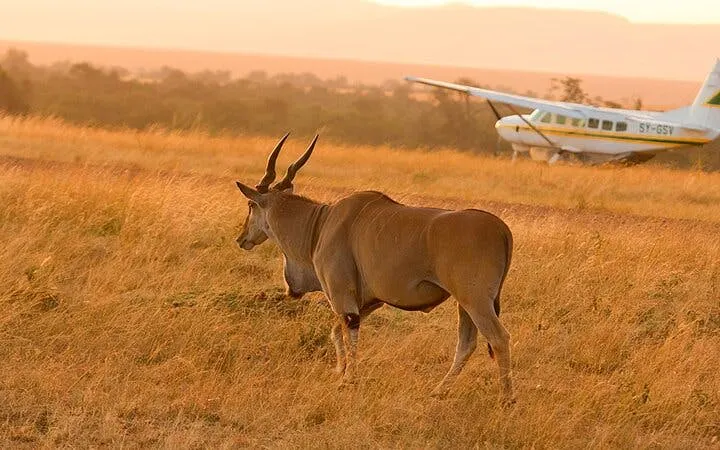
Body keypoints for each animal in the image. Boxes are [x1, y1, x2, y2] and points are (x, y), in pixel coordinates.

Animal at [235, 133, 515, 402]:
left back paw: (506, 399)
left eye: (250, 205)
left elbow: (347, 334)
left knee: (499, 339)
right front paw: (341, 372)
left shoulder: (343, 298)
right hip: (465, 304)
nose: (241, 239)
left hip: (476, 301)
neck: (321, 223)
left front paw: (348, 380)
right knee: (467, 343)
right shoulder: (369, 302)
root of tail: (501, 229)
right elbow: (337, 333)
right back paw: (439, 392)